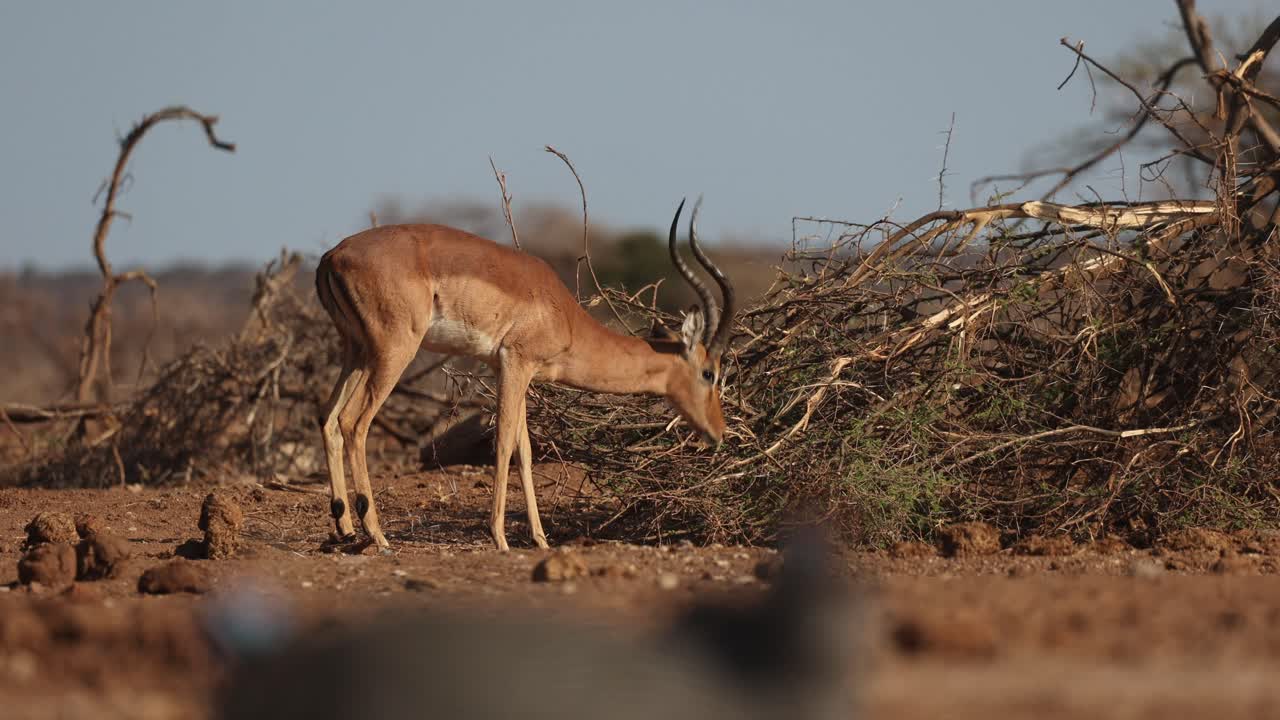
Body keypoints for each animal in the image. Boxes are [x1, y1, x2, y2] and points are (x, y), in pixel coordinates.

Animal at [315, 198, 736, 552]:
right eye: (709, 373)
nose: (719, 434)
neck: (563, 313)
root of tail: (333, 255)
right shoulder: (516, 362)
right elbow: (503, 443)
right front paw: (500, 538)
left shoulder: (513, 370)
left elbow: (526, 450)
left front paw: (540, 540)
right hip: (394, 350)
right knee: (354, 422)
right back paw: (377, 535)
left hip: (357, 351)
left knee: (329, 418)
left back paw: (345, 529)